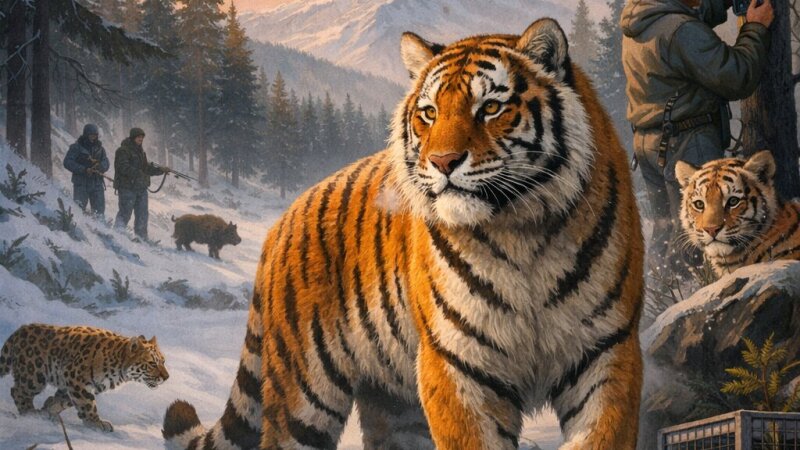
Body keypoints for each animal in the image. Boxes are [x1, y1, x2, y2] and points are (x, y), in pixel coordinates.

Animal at [0, 323, 169, 432]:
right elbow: (87, 404)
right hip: (34, 375)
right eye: (152, 363)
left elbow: (64, 400)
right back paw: (30, 413)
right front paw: (96, 423)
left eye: (163, 361)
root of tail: (19, 331)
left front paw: (49, 408)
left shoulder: (73, 384)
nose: (167, 377)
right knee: (18, 391)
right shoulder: (74, 377)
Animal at [163, 18, 644, 450]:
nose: (444, 162)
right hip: (304, 395)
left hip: (394, 400)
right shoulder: (456, 363)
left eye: (490, 108)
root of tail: (281, 222)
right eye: (429, 113)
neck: (520, 230)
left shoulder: (607, 348)